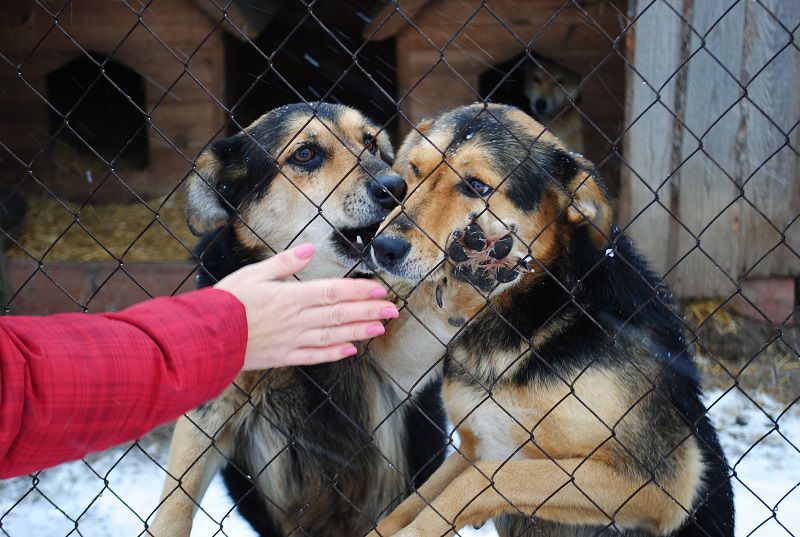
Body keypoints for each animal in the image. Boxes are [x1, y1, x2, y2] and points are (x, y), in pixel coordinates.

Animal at [148, 103, 450, 536]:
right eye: (306, 154)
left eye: (371, 143)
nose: (396, 187)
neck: (309, 296)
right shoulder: (210, 412)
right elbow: (175, 502)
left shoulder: (397, 370)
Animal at [368, 104, 732, 536]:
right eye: (415, 170)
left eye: (476, 186)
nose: (382, 247)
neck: (533, 317)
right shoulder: (475, 445)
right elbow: (408, 506)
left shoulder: (660, 483)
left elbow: (487, 479)